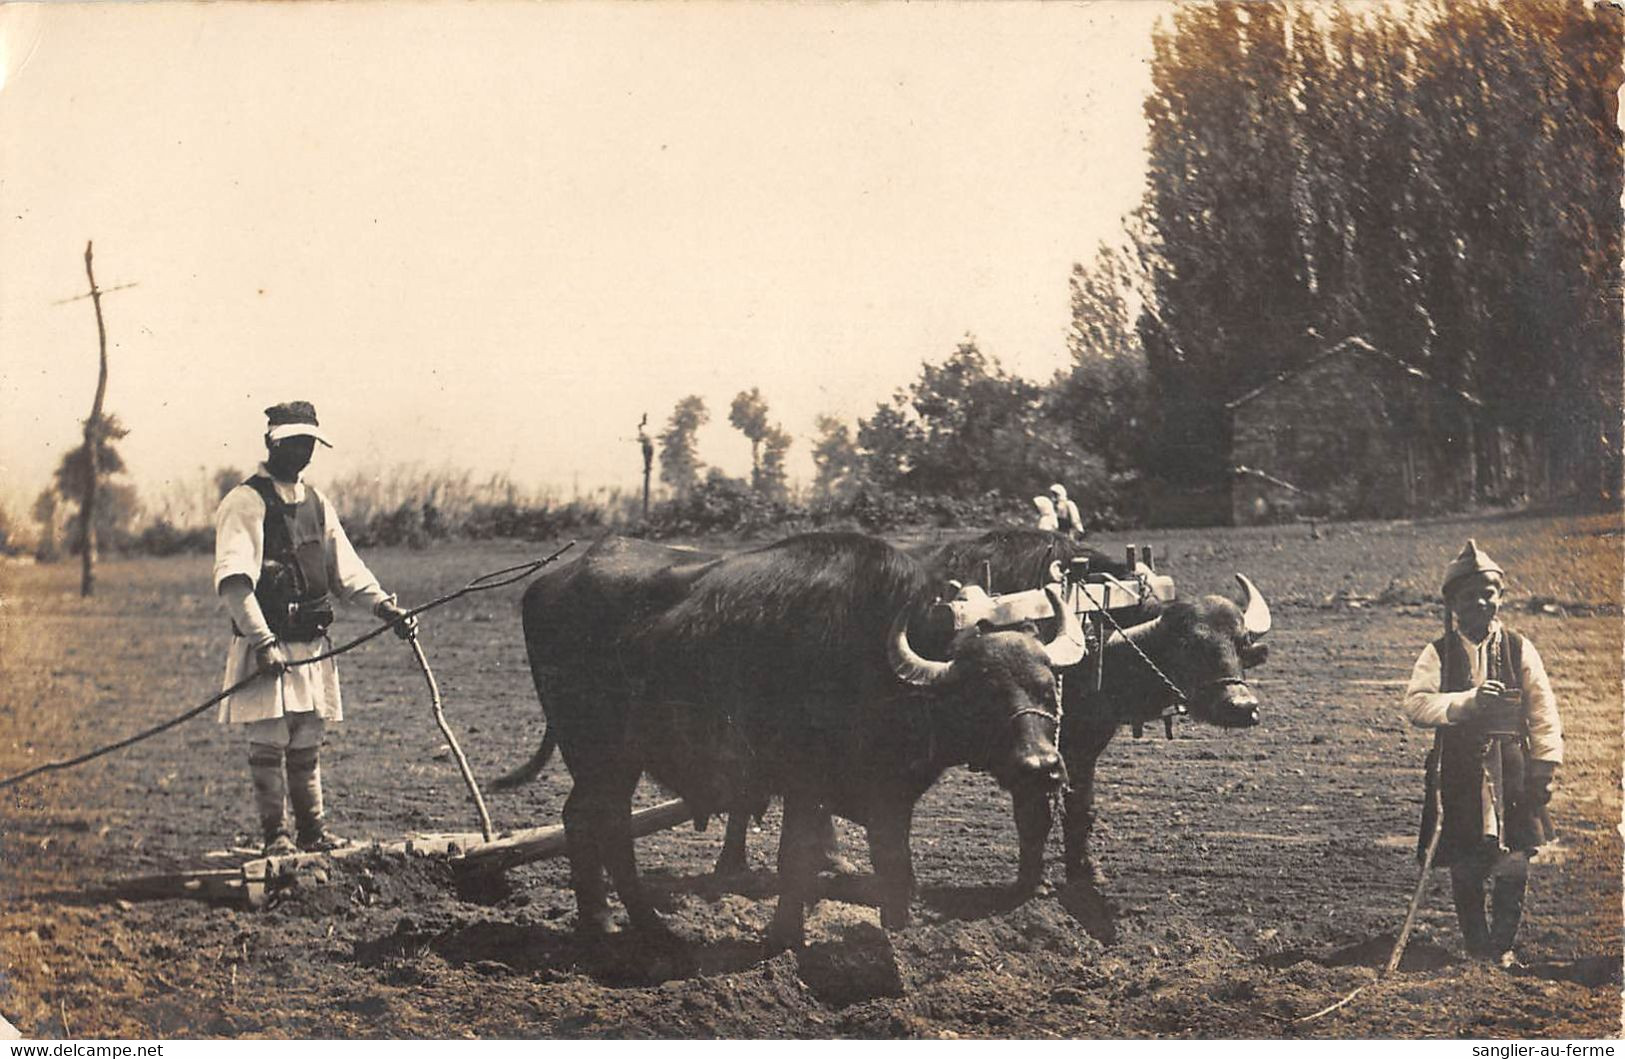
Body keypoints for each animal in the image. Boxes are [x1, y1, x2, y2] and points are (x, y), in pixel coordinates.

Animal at [497, 532, 1079, 948]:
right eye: (983, 691)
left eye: (1047, 685)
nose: (1041, 766)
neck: (873, 666)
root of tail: (550, 583)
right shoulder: (804, 785)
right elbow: (794, 862)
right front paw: (784, 937)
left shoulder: (889, 791)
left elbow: (895, 863)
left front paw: (898, 930)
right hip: (598, 753)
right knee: (600, 823)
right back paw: (627, 925)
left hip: (610, 760)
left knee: (587, 819)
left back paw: (614, 922)